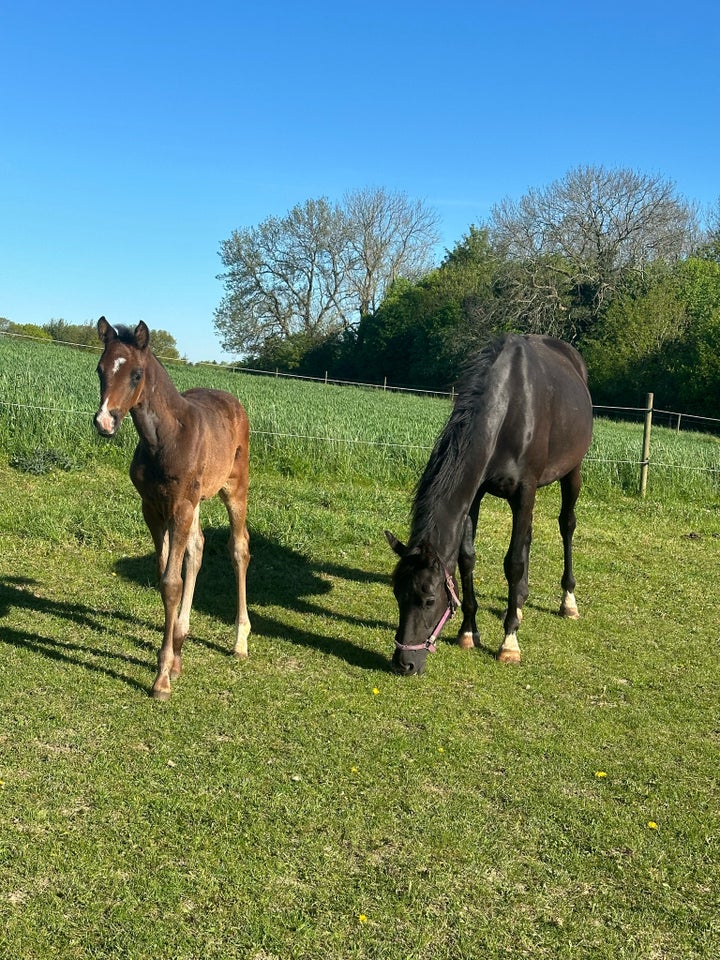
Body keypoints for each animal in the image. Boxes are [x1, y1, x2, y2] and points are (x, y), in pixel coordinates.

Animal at [93, 318, 252, 700]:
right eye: (100, 369)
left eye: (136, 374)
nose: (105, 421)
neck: (163, 439)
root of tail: (231, 400)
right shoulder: (153, 507)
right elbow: (166, 572)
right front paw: (172, 661)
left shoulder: (179, 506)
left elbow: (171, 582)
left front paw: (162, 677)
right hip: (195, 502)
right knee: (197, 548)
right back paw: (181, 640)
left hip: (234, 488)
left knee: (239, 548)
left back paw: (240, 641)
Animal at [386, 334, 592, 680]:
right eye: (396, 594)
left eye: (429, 599)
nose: (405, 663)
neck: (510, 408)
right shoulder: (477, 492)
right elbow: (468, 558)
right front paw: (469, 632)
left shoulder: (525, 490)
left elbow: (514, 563)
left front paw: (509, 643)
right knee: (528, 537)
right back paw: (519, 602)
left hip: (571, 472)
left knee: (566, 525)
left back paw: (568, 602)